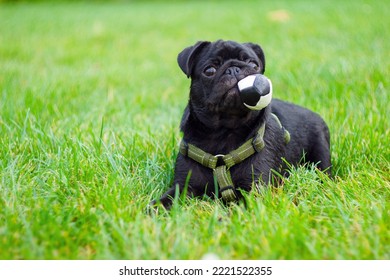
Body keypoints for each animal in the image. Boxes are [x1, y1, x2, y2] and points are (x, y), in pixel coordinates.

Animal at [151, 40, 330, 209]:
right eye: (209, 71)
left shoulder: (254, 189)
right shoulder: (183, 186)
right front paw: (151, 211)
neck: (224, 132)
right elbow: (164, 201)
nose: (234, 69)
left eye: (254, 65)